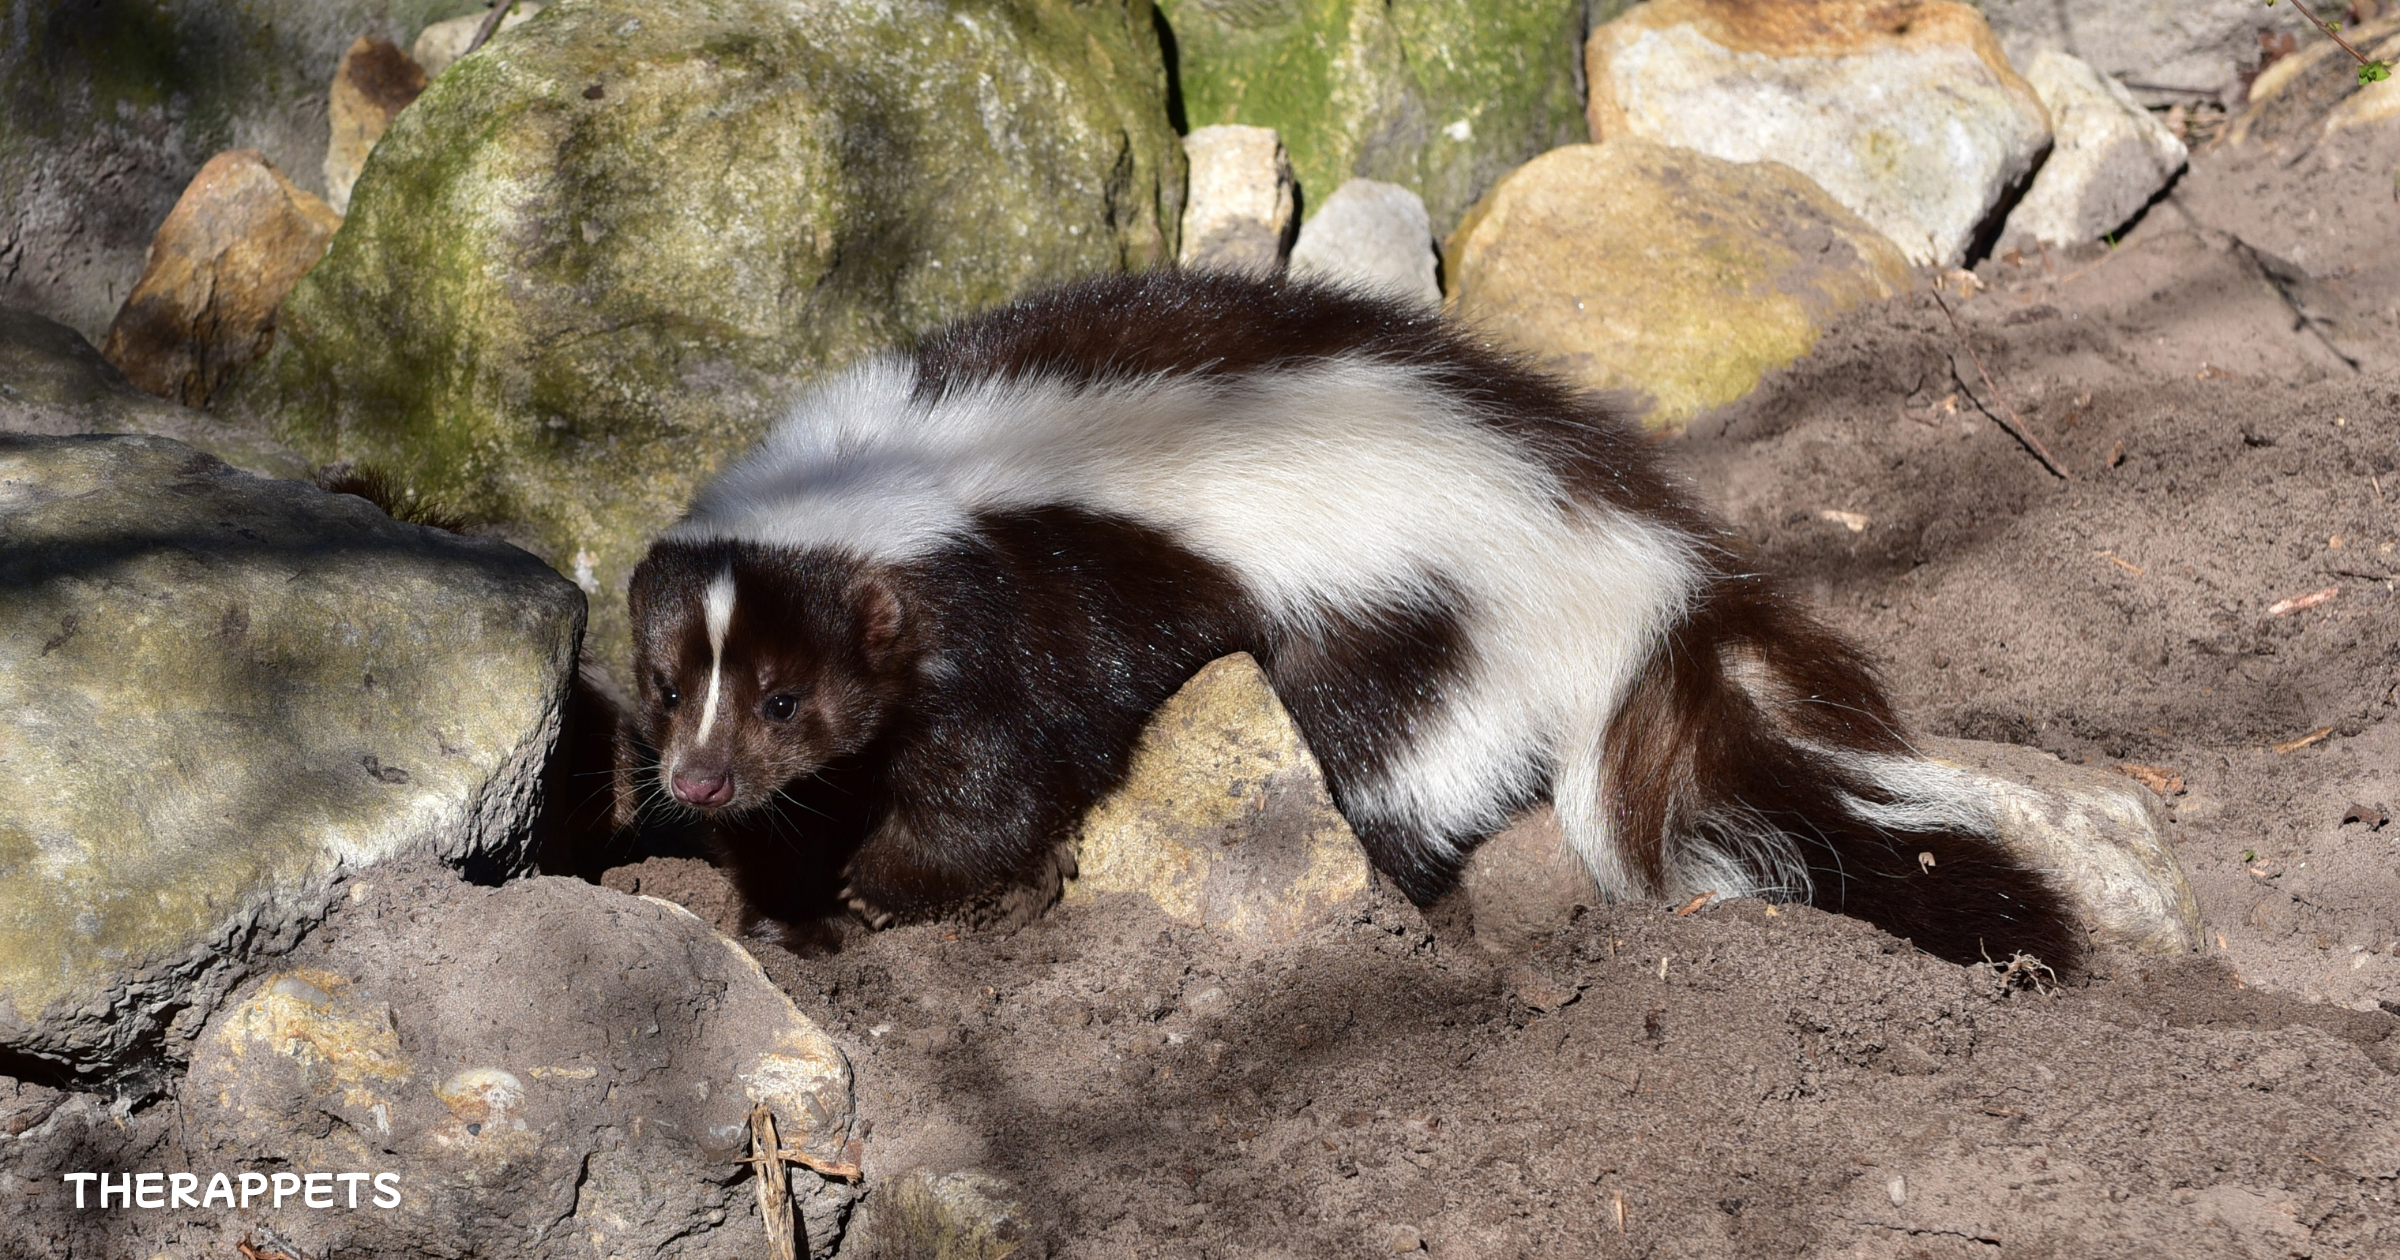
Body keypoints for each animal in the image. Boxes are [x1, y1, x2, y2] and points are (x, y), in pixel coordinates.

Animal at [624, 272, 2083, 964]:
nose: (693, 782)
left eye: (786, 695)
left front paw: (891, 890)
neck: (887, 475)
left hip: (1401, 633)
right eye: (661, 685)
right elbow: (824, 805)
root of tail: (1632, 555)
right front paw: (794, 911)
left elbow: (1007, 771)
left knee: (1398, 785)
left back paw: (1419, 927)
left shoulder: (1037, 597)